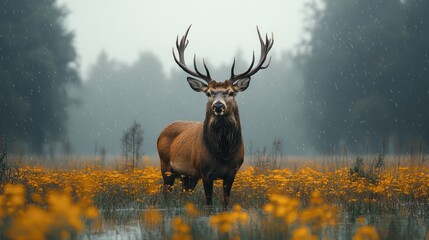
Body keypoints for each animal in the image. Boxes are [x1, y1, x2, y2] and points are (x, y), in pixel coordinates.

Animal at [155, 25, 272, 207]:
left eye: (231, 93)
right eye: (209, 93)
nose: (218, 106)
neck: (223, 153)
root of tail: (163, 131)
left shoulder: (232, 172)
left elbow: (226, 202)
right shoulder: (205, 171)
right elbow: (209, 203)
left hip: (187, 175)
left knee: (183, 194)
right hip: (166, 166)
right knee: (165, 194)